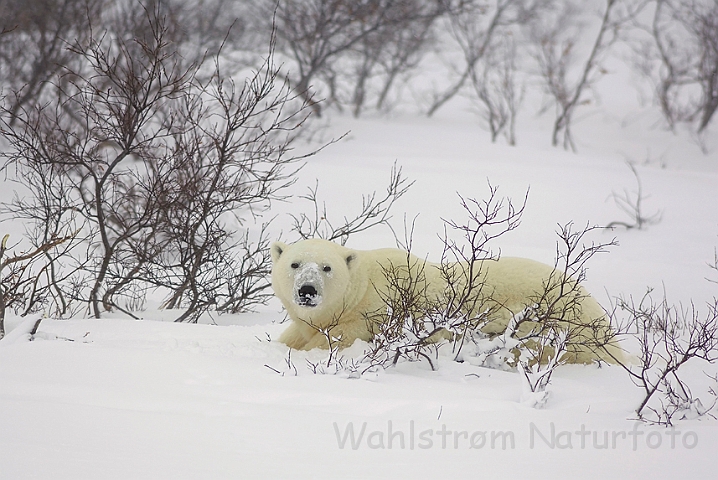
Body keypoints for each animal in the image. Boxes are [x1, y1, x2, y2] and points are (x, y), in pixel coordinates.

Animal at [272, 238, 624, 362]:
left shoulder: (371, 318)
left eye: (326, 267)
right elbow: (295, 335)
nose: (307, 290)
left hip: (559, 324)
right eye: (295, 264)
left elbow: (335, 340)